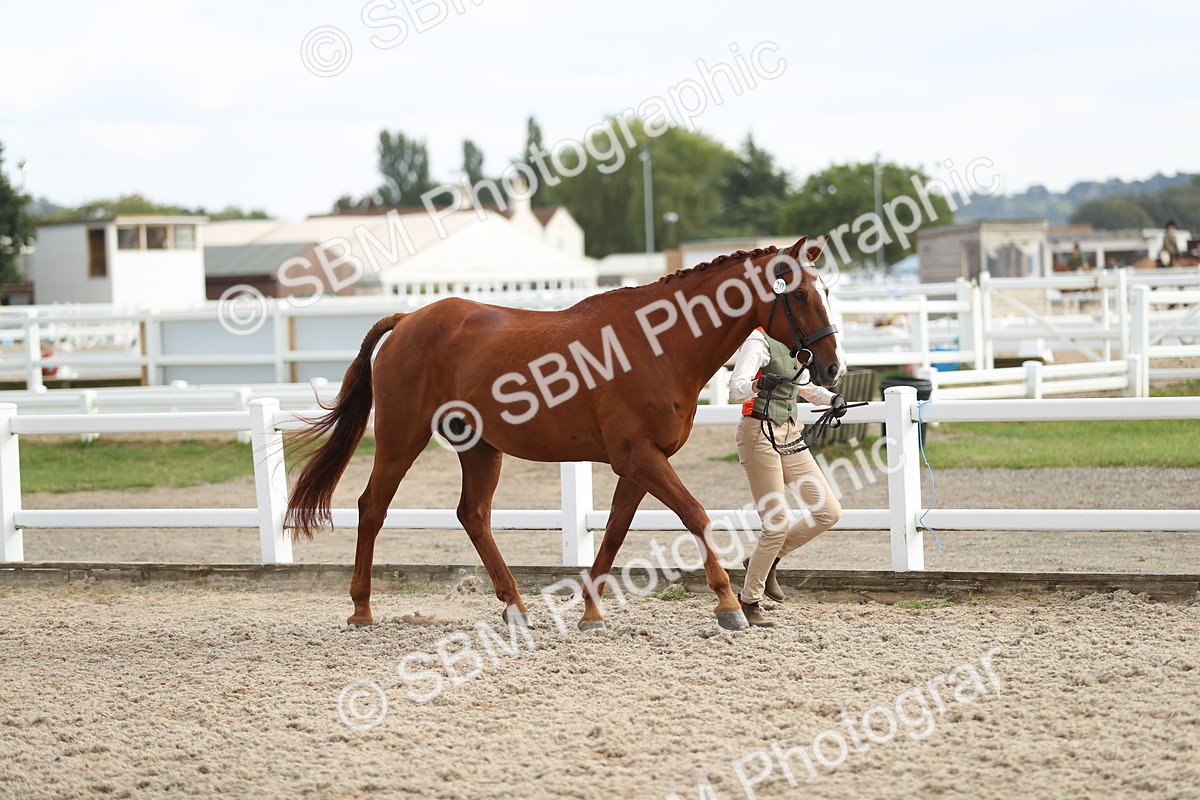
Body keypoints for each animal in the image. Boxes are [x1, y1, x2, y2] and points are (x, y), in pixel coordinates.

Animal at [284, 236, 846, 632]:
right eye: (799, 293)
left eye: (825, 290)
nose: (831, 369)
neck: (660, 344)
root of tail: (406, 320)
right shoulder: (639, 457)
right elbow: (696, 516)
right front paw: (729, 604)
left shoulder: (639, 463)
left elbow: (615, 531)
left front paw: (592, 612)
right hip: (403, 438)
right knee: (372, 507)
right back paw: (362, 610)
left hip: (480, 447)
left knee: (473, 515)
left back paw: (515, 607)